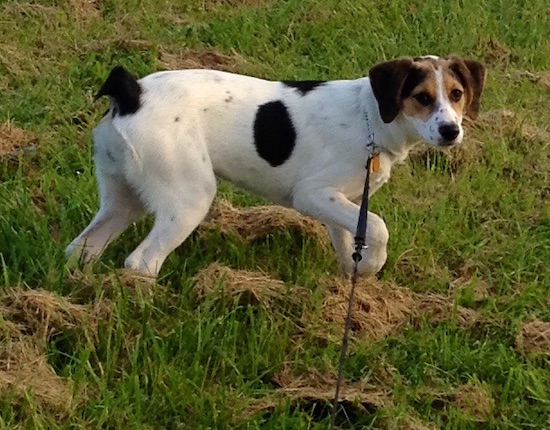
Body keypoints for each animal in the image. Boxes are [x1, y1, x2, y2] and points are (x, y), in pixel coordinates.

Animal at [66, 54, 488, 278]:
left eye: (457, 94)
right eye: (422, 98)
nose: (451, 131)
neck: (369, 115)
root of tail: (132, 93)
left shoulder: (340, 202)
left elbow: (349, 240)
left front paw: (353, 278)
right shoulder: (312, 195)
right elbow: (379, 227)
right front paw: (372, 266)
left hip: (123, 200)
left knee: (82, 247)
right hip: (188, 199)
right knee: (142, 261)